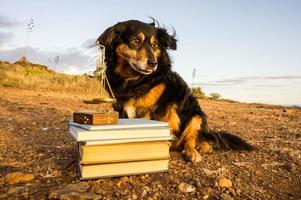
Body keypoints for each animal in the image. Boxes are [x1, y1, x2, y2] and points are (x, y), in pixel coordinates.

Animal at [95, 19, 251, 162]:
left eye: (155, 44)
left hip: (195, 116)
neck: (134, 80)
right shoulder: (120, 107)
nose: (153, 63)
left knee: (191, 139)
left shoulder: (161, 109)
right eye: (136, 40)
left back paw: (194, 151)